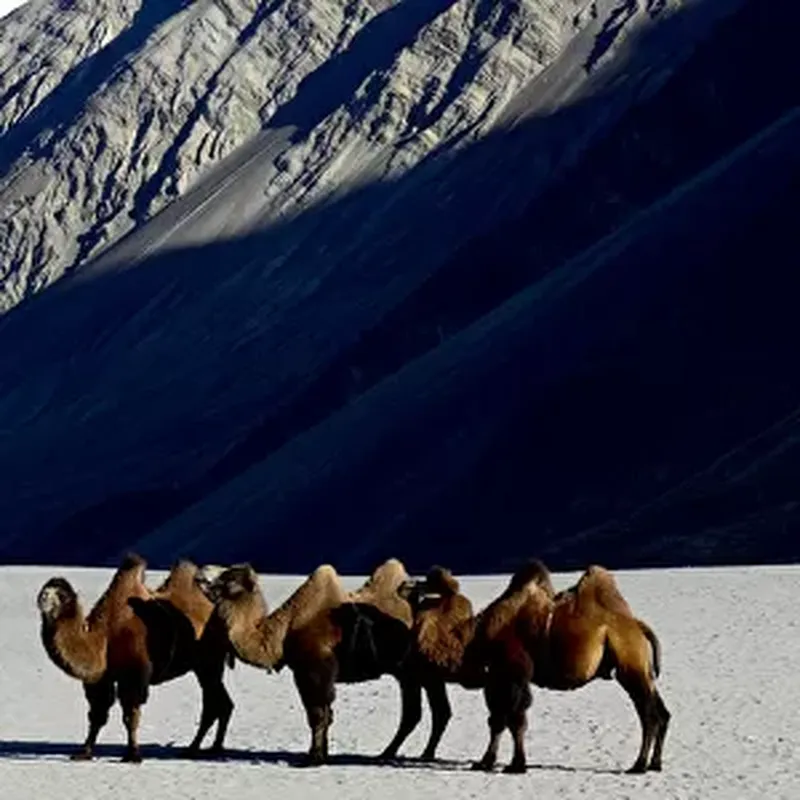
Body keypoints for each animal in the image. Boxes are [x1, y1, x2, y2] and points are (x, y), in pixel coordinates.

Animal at [36, 552, 233, 760]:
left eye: (61, 595)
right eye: (44, 589)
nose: (43, 597)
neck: (105, 637)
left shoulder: (134, 674)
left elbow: (130, 715)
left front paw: (132, 754)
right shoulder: (101, 679)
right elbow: (97, 715)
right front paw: (84, 752)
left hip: (208, 662)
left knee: (212, 705)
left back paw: (193, 748)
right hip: (204, 665)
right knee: (223, 703)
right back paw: (214, 747)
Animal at [400, 560, 668, 772]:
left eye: (425, 582)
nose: (404, 585)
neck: (471, 638)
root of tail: (639, 627)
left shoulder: (512, 673)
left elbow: (513, 719)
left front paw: (514, 765)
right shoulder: (496, 678)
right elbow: (500, 720)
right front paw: (488, 762)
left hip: (630, 665)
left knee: (649, 714)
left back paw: (638, 765)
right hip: (642, 670)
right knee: (662, 712)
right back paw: (655, 764)